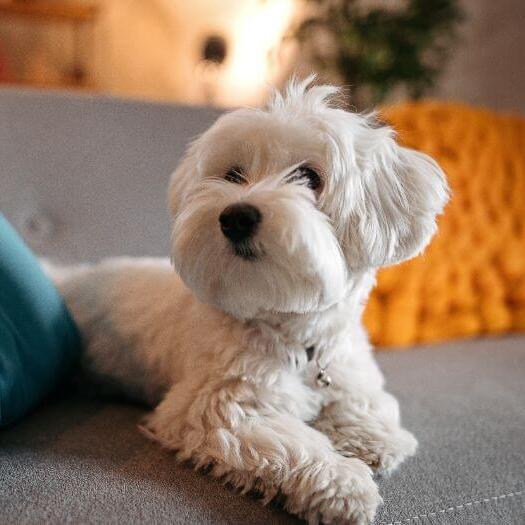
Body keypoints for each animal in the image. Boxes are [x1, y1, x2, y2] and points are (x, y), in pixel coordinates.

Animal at [51, 79, 448, 524]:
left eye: (309, 177)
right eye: (233, 174)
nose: (236, 216)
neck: (296, 338)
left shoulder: (347, 367)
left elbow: (365, 401)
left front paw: (372, 437)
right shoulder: (217, 410)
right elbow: (294, 445)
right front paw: (343, 483)